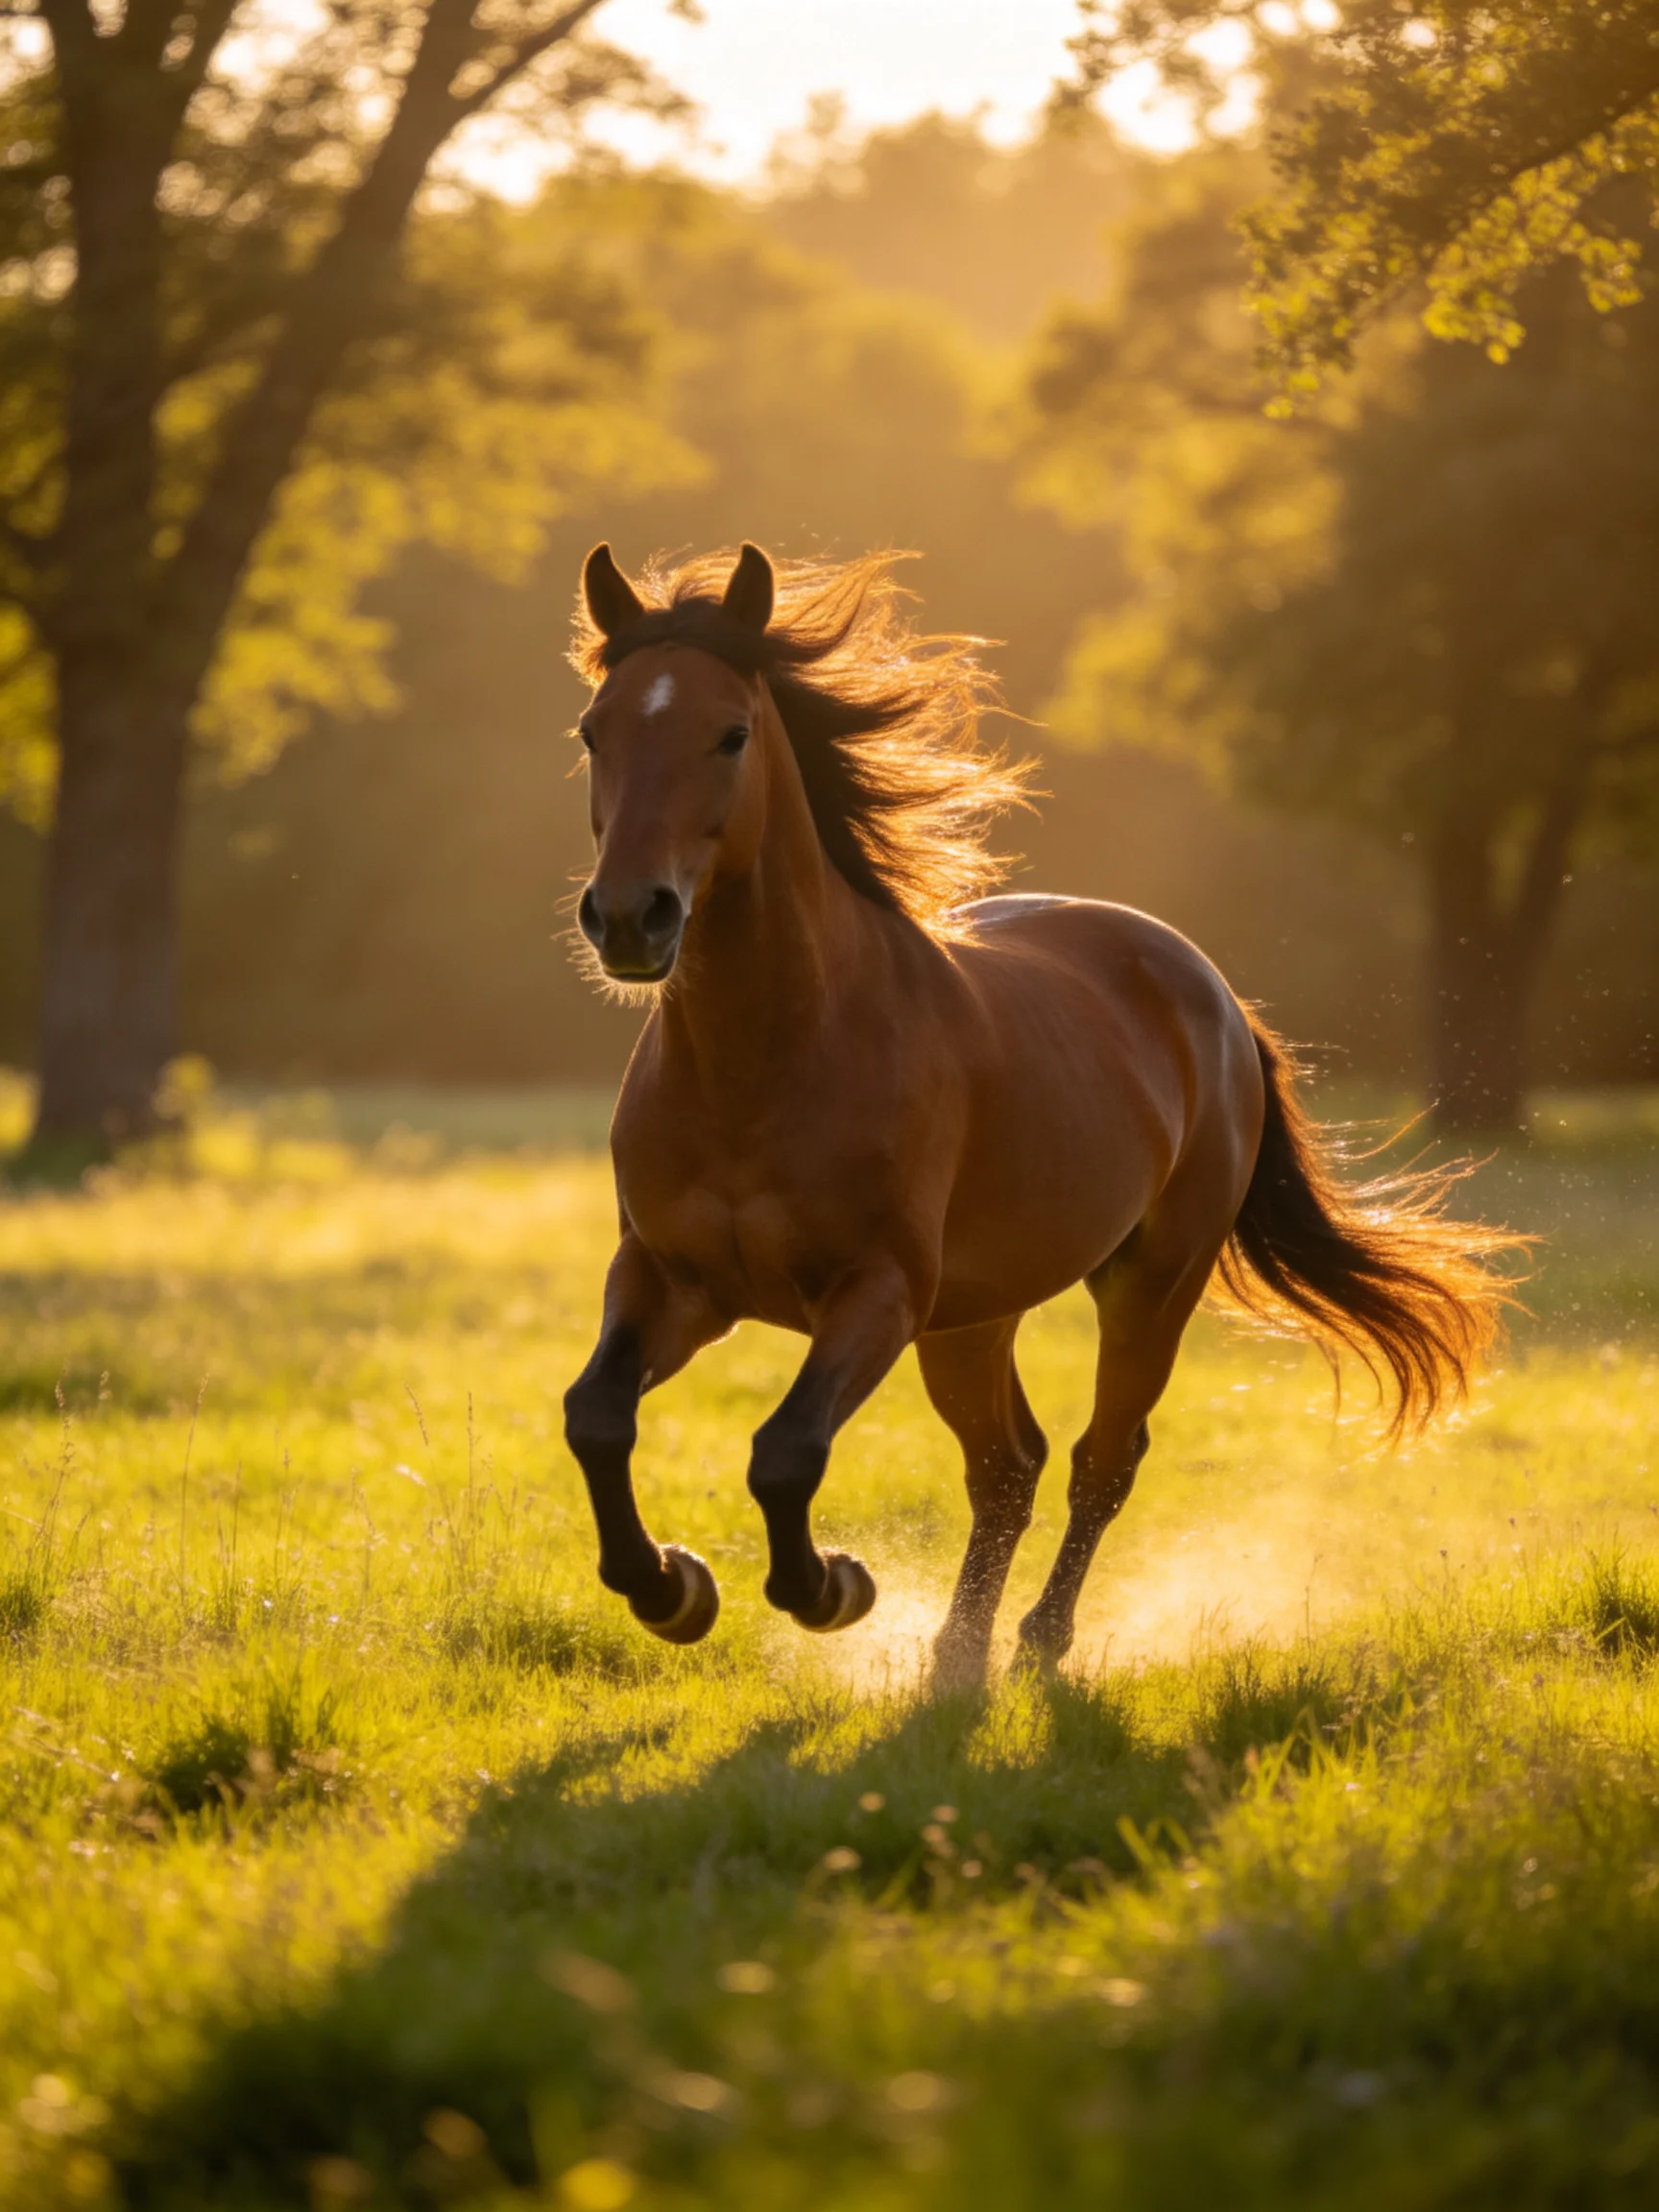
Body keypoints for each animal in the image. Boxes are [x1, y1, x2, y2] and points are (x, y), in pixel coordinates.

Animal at [561, 540, 1515, 1684]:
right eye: (594, 731)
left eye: (730, 733)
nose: (630, 918)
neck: (769, 1063)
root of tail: (1213, 994)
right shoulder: (671, 1279)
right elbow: (596, 1418)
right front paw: (673, 1589)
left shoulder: (876, 1292)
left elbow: (786, 1452)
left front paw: (834, 1587)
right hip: (976, 1315)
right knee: (1008, 1466)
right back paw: (956, 1653)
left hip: (1150, 1282)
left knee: (1101, 1458)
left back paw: (1033, 1644)